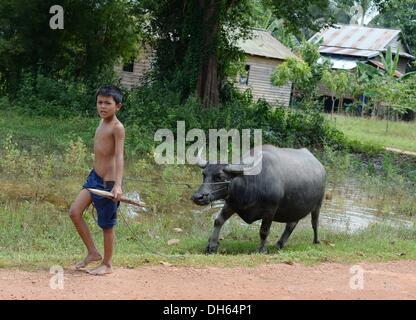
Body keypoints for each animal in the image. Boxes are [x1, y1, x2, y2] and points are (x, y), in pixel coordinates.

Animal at [191, 144, 324, 252]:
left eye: (220, 176)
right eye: (204, 174)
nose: (198, 197)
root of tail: (320, 166)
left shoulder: (270, 210)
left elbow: (264, 231)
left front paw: (262, 249)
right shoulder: (231, 204)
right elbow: (218, 220)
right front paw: (212, 245)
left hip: (318, 204)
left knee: (314, 223)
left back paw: (316, 241)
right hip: (294, 207)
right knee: (291, 224)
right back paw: (280, 244)